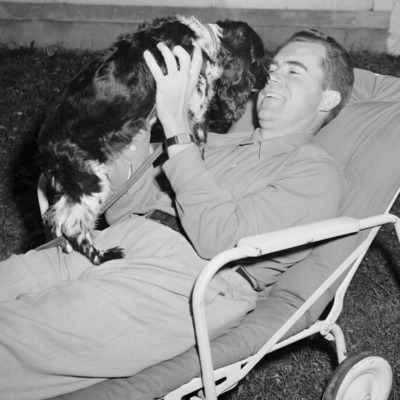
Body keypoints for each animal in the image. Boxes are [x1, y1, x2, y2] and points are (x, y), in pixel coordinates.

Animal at [37, 14, 268, 266]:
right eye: (261, 61)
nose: (268, 79)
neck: (204, 39)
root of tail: (44, 149)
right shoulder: (196, 109)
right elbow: (198, 150)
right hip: (93, 180)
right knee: (71, 224)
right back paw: (104, 255)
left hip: (78, 184)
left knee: (55, 217)